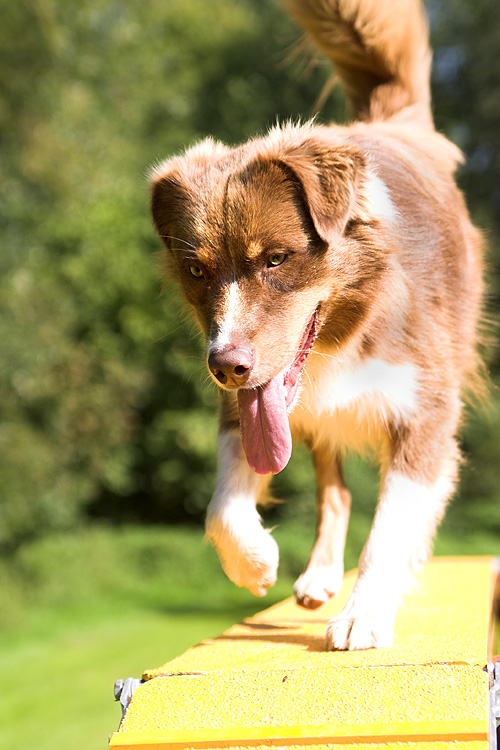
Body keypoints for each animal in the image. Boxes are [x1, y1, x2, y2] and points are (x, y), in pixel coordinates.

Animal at [149, 0, 484, 648]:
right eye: (198, 270)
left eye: (276, 259)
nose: (225, 367)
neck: (349, 331)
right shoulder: (245, 408)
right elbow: (223, 506)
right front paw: (255, 560)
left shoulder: (425, 411)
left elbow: (392, 523)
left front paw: (364, 613)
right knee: (335, 488)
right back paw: (320, 575)